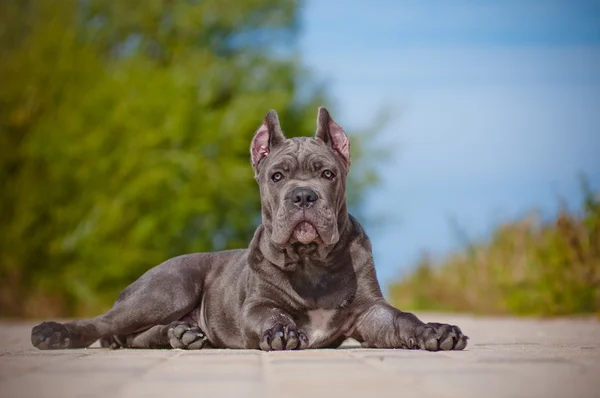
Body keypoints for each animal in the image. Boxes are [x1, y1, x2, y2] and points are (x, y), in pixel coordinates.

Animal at [30, 106, 466, 352]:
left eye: (327, 174)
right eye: (277, 176)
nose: (303, 196)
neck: (312, 262)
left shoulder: (370, 311)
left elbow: (403, 319)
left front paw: (434, 330)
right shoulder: (255, 305)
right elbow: (271, 315)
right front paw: (282, 332)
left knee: (133, 336)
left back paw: (181, 336)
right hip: (168, 288)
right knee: (105, 324)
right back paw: (55, 334)